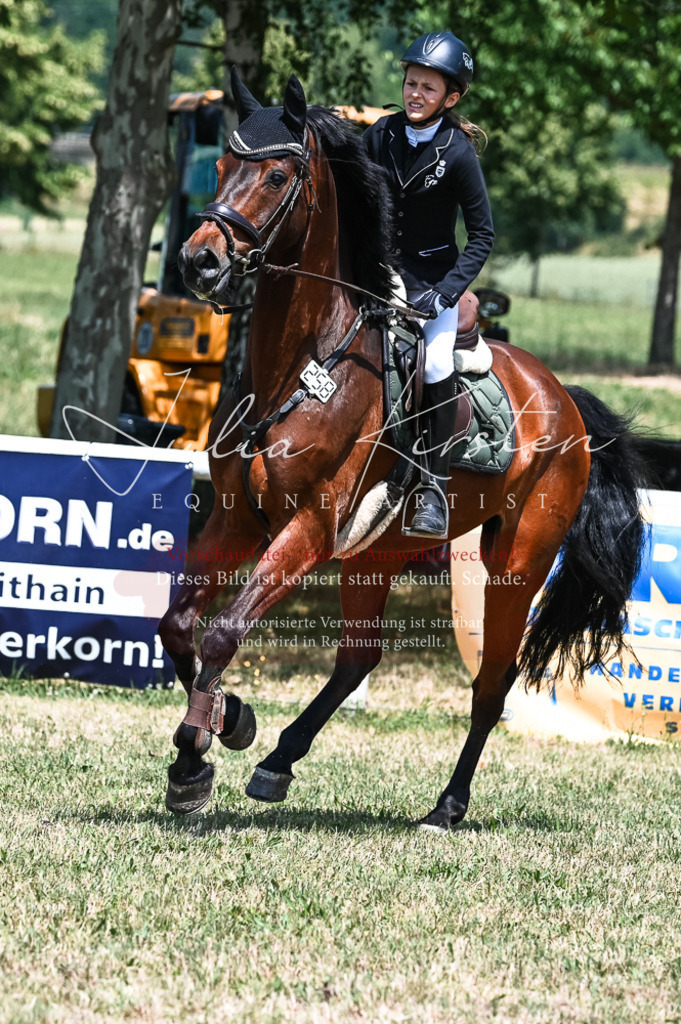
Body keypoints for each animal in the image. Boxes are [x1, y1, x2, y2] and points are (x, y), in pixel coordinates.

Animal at [158, 71, 645, 831]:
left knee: (491, 682)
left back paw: (446, 806)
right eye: (220, 166)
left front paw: (194, 758)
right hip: (377, 553)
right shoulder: (237, 520)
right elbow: (178, 626)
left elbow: (221, 633)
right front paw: (228, 724)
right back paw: (278, 762)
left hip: (518, 562)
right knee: (359, 657)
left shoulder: (307, 529)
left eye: (275, 175)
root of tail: (561, 395)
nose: (199, 260)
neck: (300, 363)